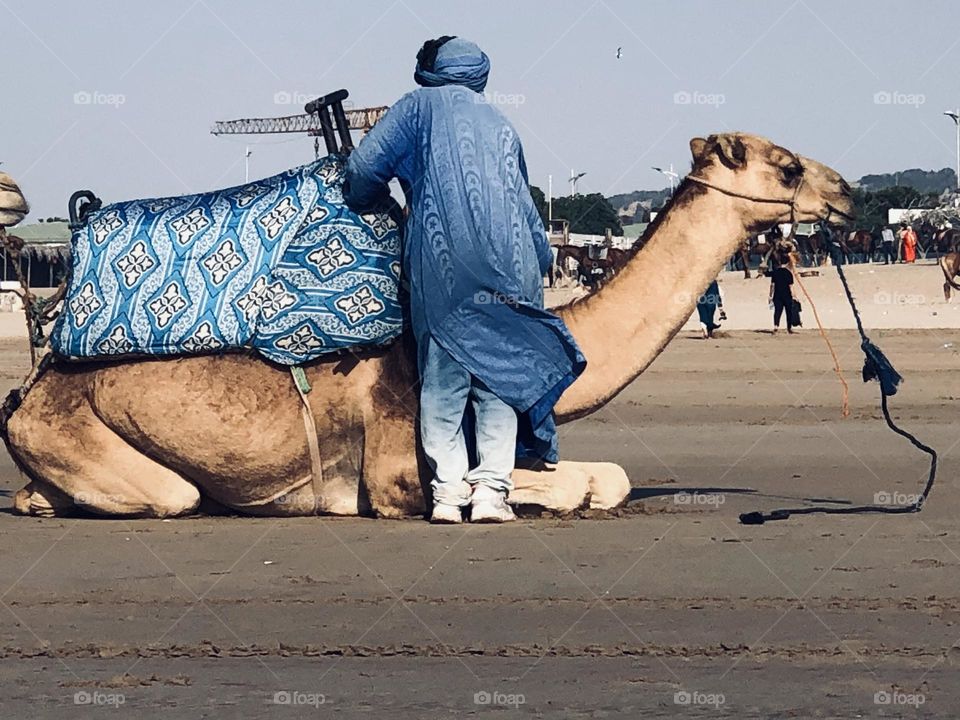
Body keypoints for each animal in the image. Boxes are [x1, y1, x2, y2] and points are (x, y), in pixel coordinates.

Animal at [0, 132, 853, 519]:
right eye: (785, 166)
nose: (844, 192)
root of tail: (29, 387)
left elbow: (606, 474)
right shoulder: (394, 466)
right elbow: (554, 482)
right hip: (70, 427)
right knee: (174, 496)